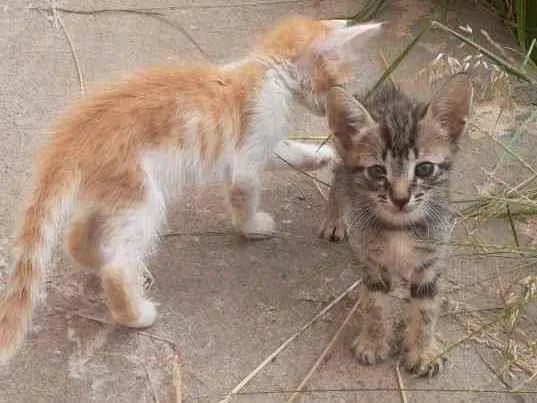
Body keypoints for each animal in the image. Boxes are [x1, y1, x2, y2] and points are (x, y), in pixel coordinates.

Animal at [0, 16, 382, 362]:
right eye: (337, 83)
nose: (333, 106)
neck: (268, 70)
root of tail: (72, 134)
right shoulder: (246, 157)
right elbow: (245, 194)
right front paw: (253, 226)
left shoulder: (264, 145)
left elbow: (286, 151)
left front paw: (322, 157)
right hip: (142, 198)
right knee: (117, 266)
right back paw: (137, 312)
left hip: (110, 195)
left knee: (76, 237)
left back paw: (101, 260)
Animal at [320, 76, 472, 378]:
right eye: (378, 171)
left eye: (424, 168)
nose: (400, 198)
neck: (400, 229)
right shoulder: (372, 262)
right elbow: (375, 304)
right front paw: (374, 342)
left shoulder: (430, 259)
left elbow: (426, 309)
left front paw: (423, 351)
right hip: (343, 165)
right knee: (338, 180)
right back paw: (335, 219)